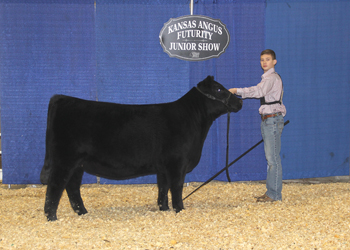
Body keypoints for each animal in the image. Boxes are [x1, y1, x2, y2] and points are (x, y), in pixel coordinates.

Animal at [41, 76, 242, 221]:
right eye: (218, 89)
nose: (239, 102)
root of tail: (61, 98)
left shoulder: (163, 167)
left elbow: (163, 188)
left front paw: (164, 209)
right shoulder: (177, 163)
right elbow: (176, 187)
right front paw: (179, 210)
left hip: (78, 164)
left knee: (72, 187)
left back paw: (82, 212)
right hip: (65, 159)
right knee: (55, 186)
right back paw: (52, 218)